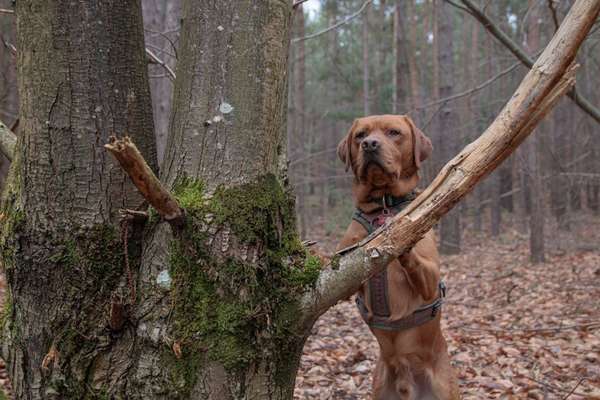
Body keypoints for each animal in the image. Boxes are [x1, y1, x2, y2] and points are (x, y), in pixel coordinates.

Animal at [338, 114, 460, 398]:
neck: (384, 202)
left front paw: (398, 238)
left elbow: (414, 258)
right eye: (360, 135)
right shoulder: (346, 275)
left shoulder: (430, 279)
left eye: (394, 133)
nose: (370, 144)